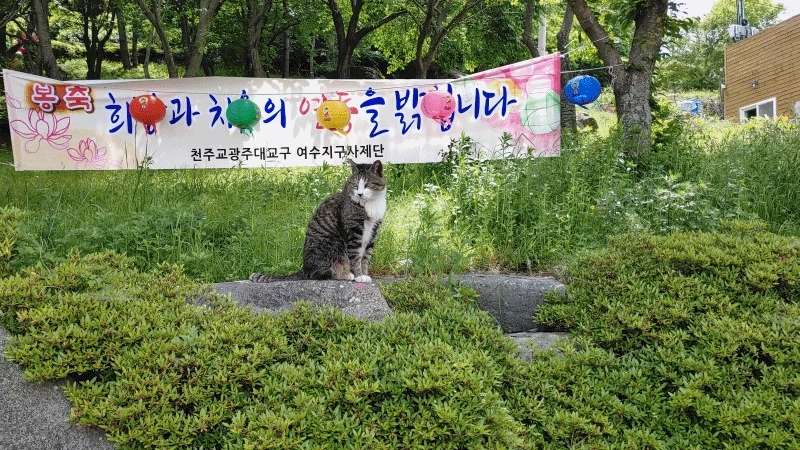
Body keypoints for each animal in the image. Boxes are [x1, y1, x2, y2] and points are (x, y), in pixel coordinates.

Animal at [250, 159, 386, 283]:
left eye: (367, 185)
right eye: (355, 184)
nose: (360, 194)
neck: (370, 204)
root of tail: (304, 269)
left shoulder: (373, 233)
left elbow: (366, 258)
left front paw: (365, 274)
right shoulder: (353, 232)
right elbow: (355, 257)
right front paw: (359, 276)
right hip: (334, 246)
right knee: (322, 274)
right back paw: (346, 274)